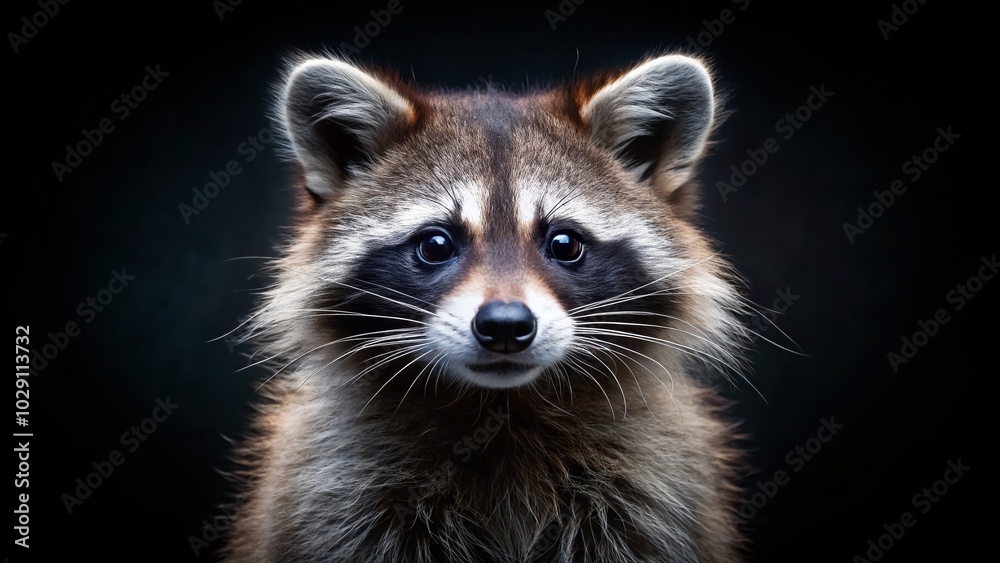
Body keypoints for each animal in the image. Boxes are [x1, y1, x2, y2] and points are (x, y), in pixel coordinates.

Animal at [222, 52, 753, 562]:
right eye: (435, 244)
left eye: (564, 243)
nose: (504, 325)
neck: (500, 410)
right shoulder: (335, 490)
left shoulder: (647, 490)